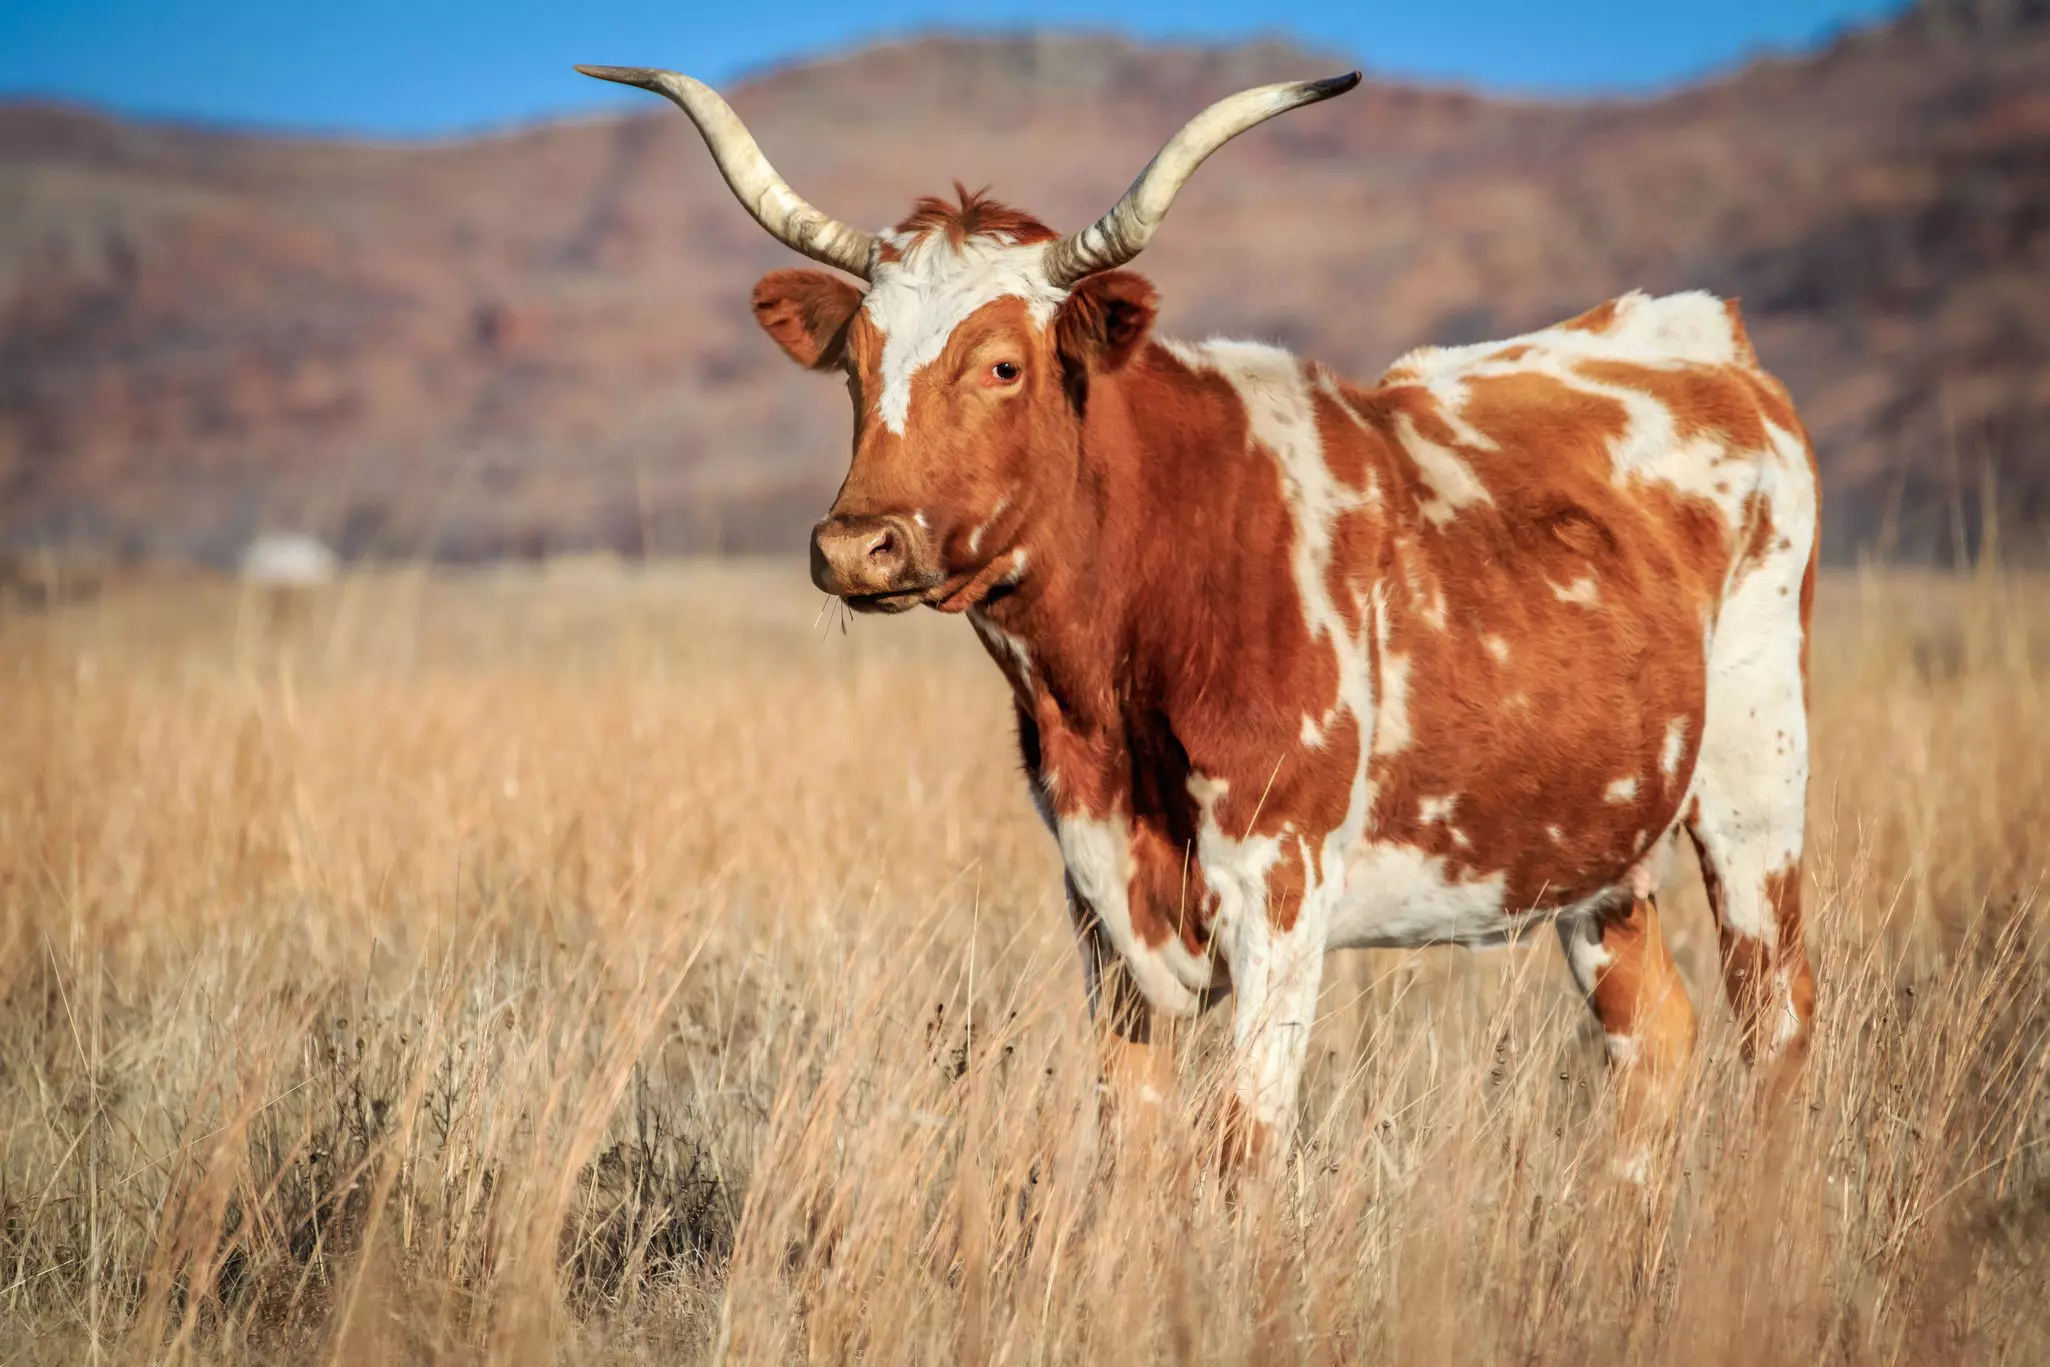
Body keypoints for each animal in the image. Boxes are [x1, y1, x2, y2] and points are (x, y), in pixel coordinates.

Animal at [578, 63, 1821, 1165]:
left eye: (1002, 365)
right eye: (856, 363)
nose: (855, 544)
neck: (1110, 679)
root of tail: (1700, 339)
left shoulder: (1281, 892)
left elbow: (1239, 1145)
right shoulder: (1101, 907)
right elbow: (1128, 1145)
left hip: (1755, 782)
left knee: (1778, 1018)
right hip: (1600, 845)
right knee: (1652, 1035)